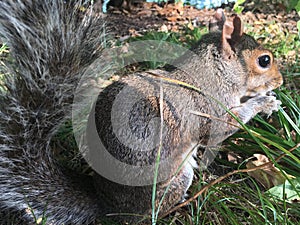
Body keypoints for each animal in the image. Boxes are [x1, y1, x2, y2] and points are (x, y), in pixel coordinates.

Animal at [0, 0, 282, 225]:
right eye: (264, 60)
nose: (280, 81)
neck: (214, 72)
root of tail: (110, 207)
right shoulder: (210, 109)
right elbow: (226, 124)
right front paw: (264, 102)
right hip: (175, 178)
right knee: (154, 213)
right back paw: (183, 202)